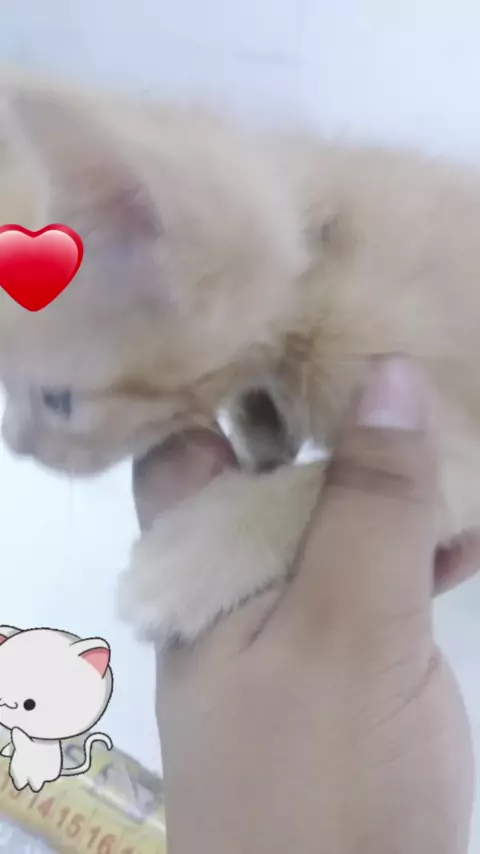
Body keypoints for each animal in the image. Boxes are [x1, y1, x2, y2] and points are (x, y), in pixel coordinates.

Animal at [1, 78, 480, 645]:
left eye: (57, 400)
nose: (14, 445)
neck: (319, 270)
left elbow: (316, 483)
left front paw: (190, 554)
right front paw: (262, 424)